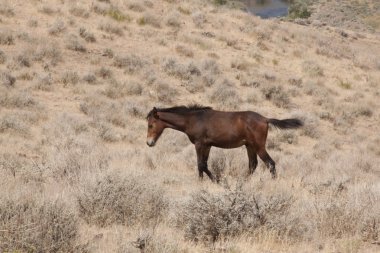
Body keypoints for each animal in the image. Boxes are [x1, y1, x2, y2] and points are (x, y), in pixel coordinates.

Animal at [145, 105, 302, 182]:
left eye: (151, 125)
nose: (149, 143)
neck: (193, 119)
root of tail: (265, 119)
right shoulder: (207, 145)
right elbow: (203, 164)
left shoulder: (199, 144)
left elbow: (201, 164)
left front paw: (215, 180)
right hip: (249, 146)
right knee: (253, 165)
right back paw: (242, 182)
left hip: (259, 146)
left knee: (270, 163)